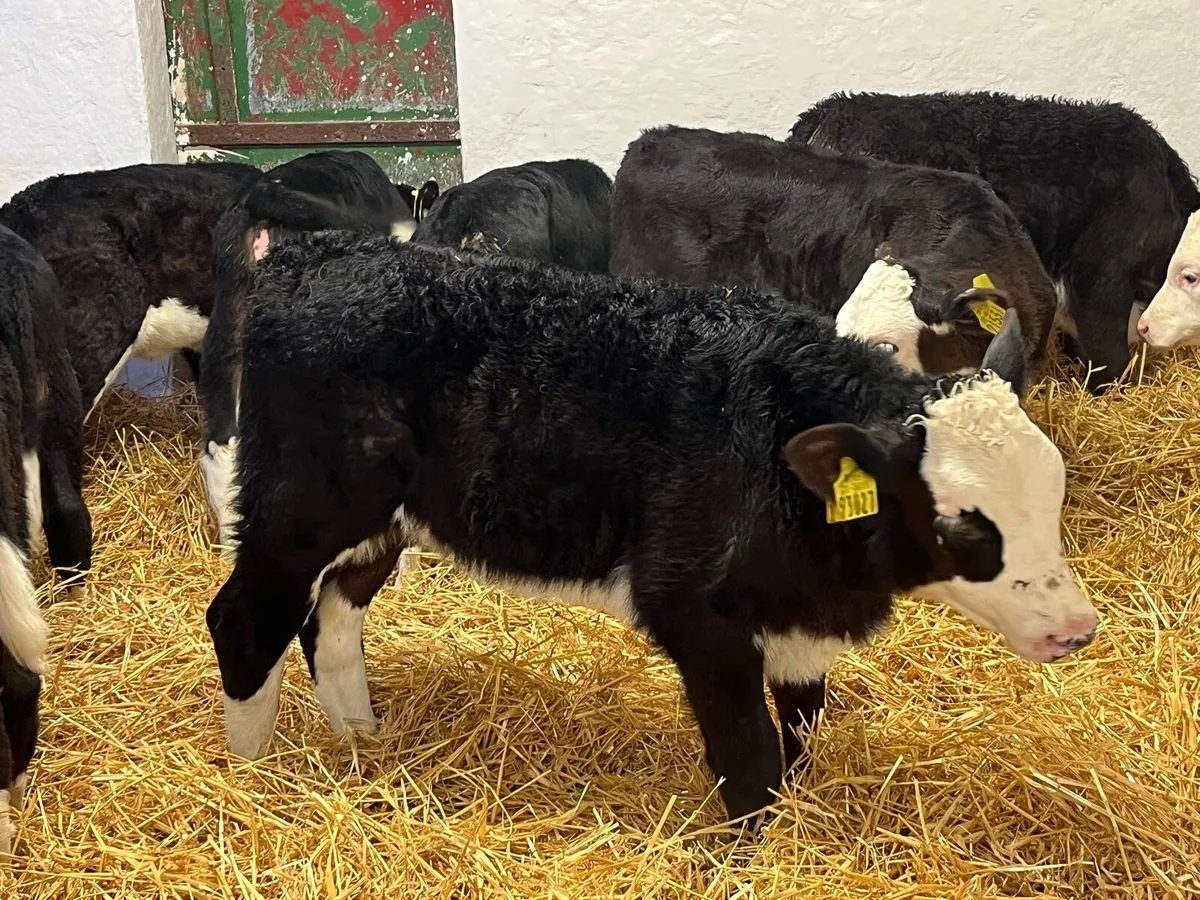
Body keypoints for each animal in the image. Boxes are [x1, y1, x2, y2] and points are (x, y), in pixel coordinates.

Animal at [205, 232, 1099, 827]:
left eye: (1051, 499)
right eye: (965, 524)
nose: (1075, 628)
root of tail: (313, 254)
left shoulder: (797, 620)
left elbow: (801, 733)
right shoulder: (695, 612)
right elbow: (750, 761)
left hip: (378, 527)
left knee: (332, 623)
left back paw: (361, 744)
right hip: (297, 511)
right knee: (245, 619)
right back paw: (250, 778)